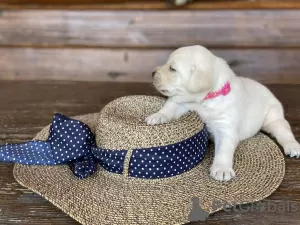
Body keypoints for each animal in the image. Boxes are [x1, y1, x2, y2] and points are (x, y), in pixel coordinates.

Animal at [146, 44, 300, 182]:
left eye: (172, 69)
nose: (152, 73)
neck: (204, 100)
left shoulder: (225, 127)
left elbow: (223, 149)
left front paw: (221, 169)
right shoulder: (181, 103)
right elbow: (169, 107)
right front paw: (157, 116)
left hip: (273, 116)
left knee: (283, 131)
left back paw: (292, 146)